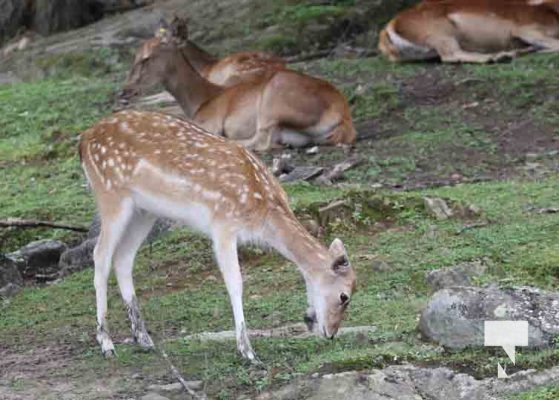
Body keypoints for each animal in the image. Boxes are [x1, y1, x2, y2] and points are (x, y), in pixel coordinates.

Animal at [79, 110, 356, 362]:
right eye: (344, 296)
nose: (331, 333)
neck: (262, 209)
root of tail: (84, 139)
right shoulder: (223, 224)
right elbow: (236, 282)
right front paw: (248, 352)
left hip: (145, 210)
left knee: (123, 258)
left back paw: (144, 339)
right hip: (111, 194)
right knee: (100, 255)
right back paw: (106, 343)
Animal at [120, 17, 356, 152]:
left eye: (147, 58)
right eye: (135, 55)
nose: (124, 92)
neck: (200, 99)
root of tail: (342, 115)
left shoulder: (211, 122)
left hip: (273, 98)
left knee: (261, 140)